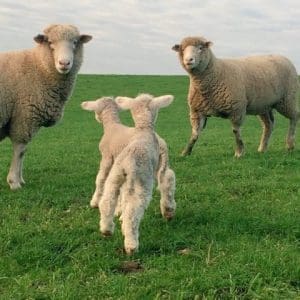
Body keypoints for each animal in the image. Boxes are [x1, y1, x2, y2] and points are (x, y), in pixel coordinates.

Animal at [0, 24, 91, 190]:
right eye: (49, 42)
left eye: (75, 42)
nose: (64, 63)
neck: (38, 66)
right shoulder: (24, 117)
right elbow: (20, 150)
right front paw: (14, 182)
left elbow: (24, 151)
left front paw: (20, 179)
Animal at [83, 95, 175, 254]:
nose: (97, 117)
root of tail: (128, 162)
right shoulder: (108, 158)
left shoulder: (107, 158)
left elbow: (100, 180)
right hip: (141, 180)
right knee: (133, 209)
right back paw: (131, 242)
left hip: (119, 176)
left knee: (110, 201)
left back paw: (110, 229)